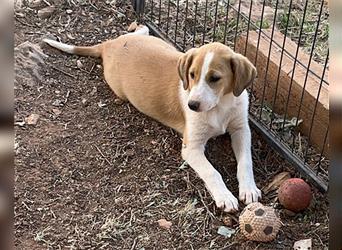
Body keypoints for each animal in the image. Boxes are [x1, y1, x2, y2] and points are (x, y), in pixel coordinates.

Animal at [43, 25, 262, 213]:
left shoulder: (241, 129)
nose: (192, 105)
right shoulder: (191, 147)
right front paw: (225, 197)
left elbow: (246, 161)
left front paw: (249, 189)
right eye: (192, 75)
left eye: (215, 78)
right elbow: (211, 172)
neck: (220, 105)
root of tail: (107, 46)